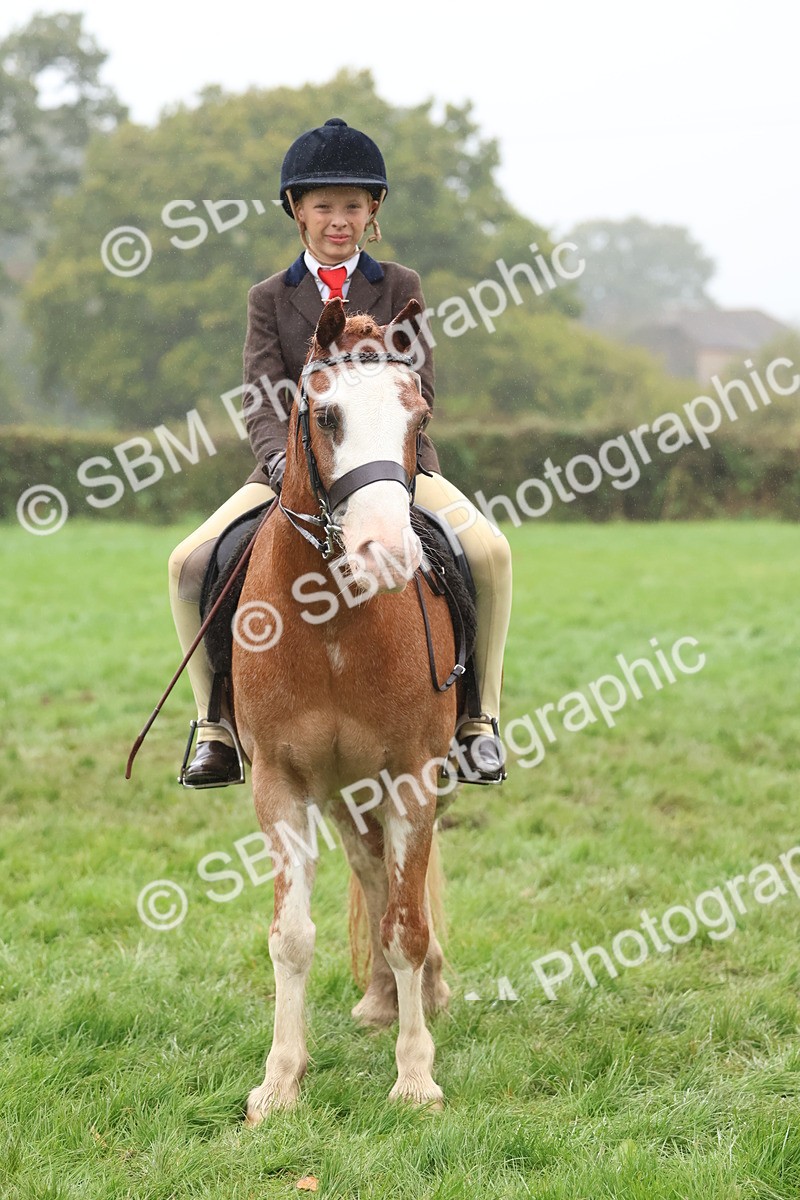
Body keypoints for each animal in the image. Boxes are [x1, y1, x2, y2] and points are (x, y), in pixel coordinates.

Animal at [232, 297, 461, 1123]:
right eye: (325, 415)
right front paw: (278, 1082)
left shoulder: (415, 777)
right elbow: (292, 937)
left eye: (417, 416)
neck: (332, 619)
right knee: (368, 871)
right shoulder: (282, 782)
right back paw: (379, 1000)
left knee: (399, 894)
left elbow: (407, 926)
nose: (386, 554)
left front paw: (416, 1077)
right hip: (343, 792)